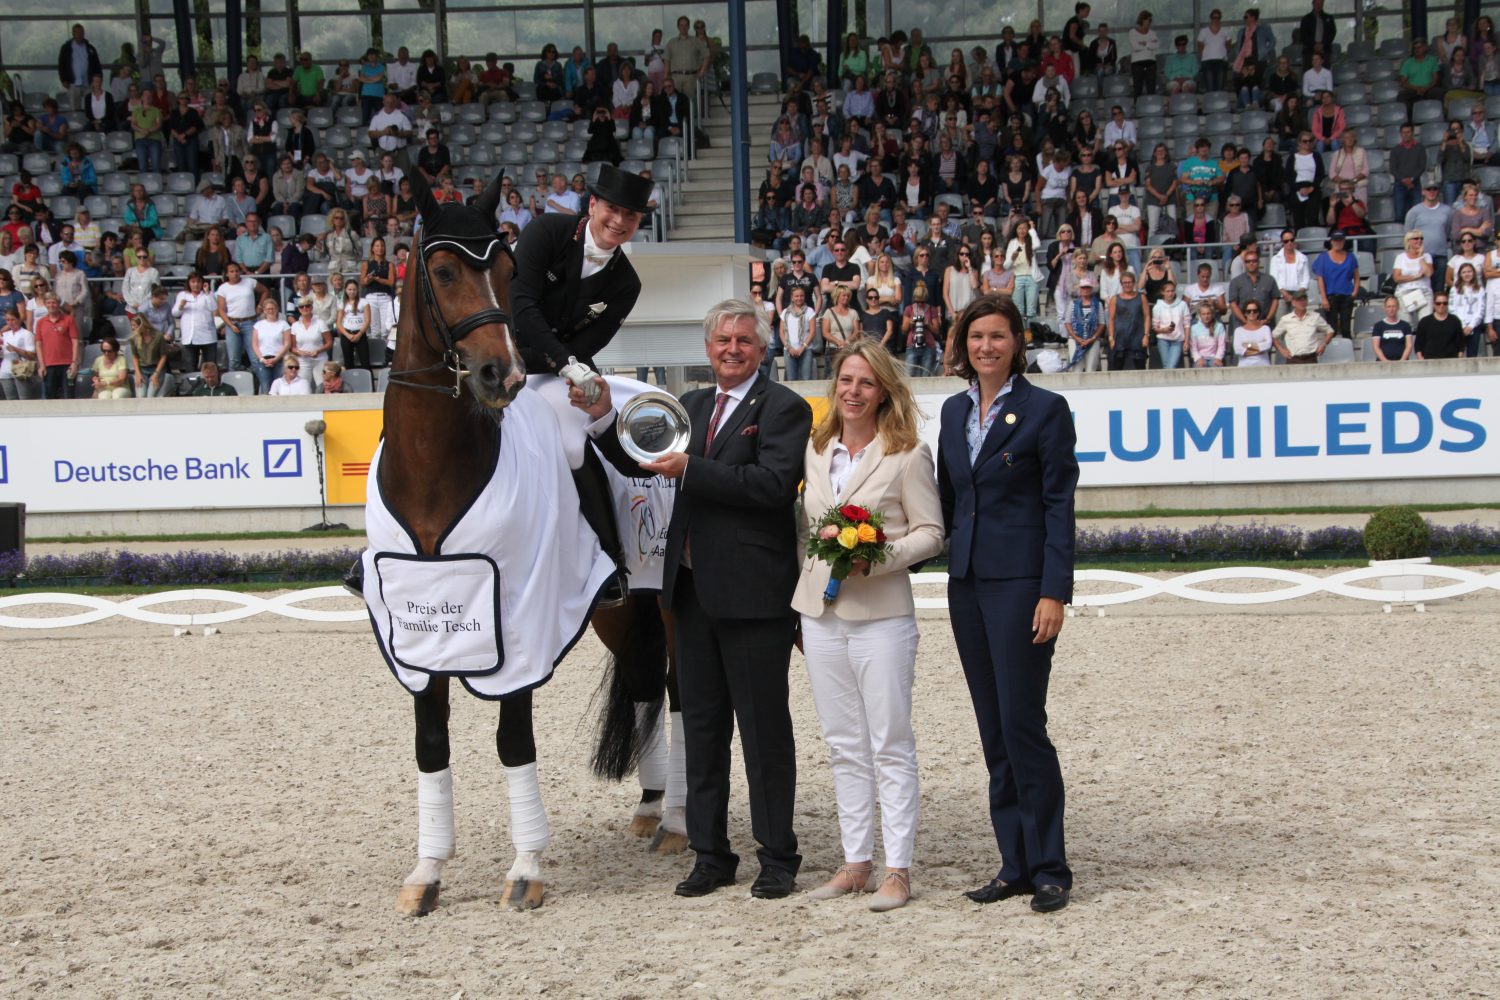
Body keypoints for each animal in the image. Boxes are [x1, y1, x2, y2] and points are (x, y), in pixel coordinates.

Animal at [369, 170, 687, 917]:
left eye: (509, 270)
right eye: (443, 269)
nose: (502, 376)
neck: (436, 475)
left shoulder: (518, 625)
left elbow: (514, 741)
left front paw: (526, 867)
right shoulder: (423, 632)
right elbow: (431, 745)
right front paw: (426, 873)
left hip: (667, 601)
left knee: (679, 692)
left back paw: (678, 821)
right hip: (616, 610)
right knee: (643, 684)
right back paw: (651, 807)